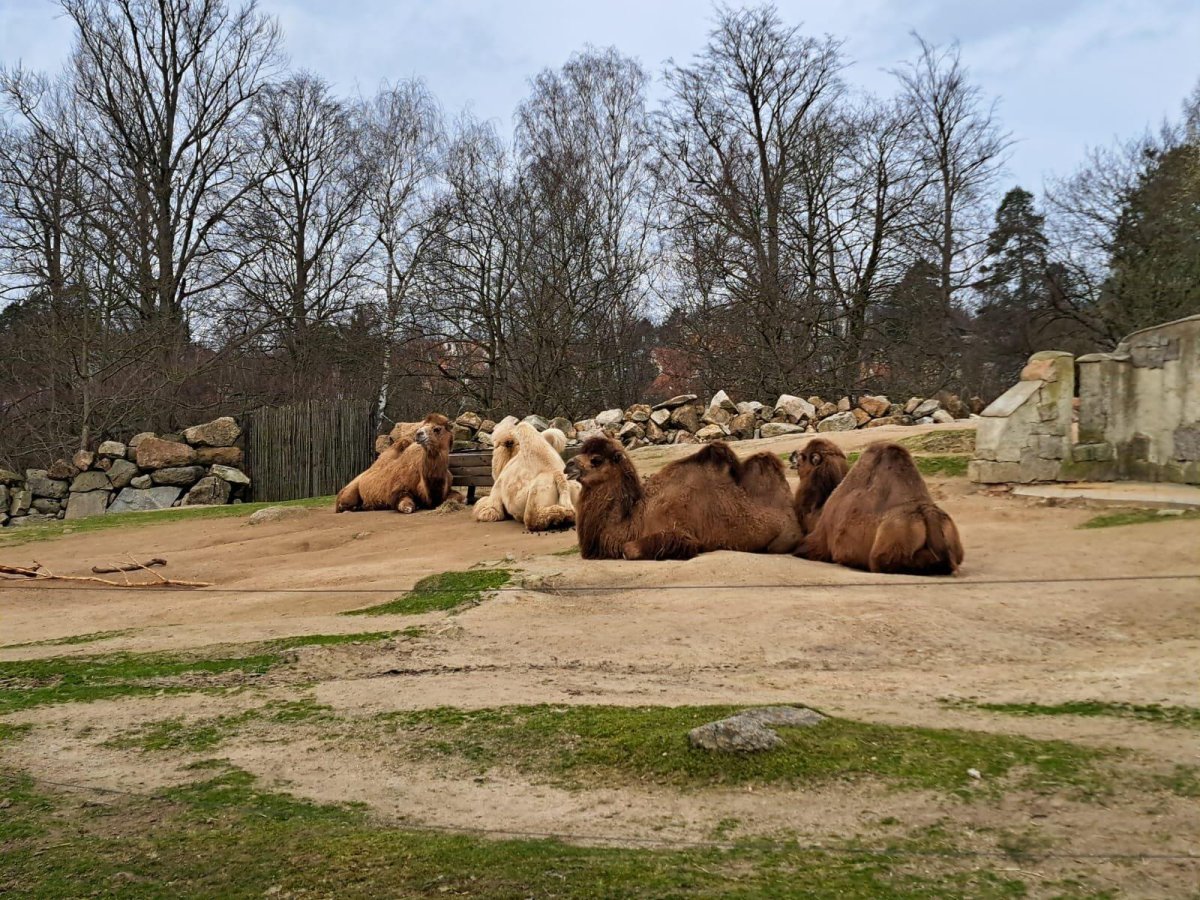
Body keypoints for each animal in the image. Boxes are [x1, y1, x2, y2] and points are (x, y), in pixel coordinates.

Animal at [564, 437, 803, 560]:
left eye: (596, 459)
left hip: (783, 539)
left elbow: (629, 549)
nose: (568, 466)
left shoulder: (680, 534)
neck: (635, 518)